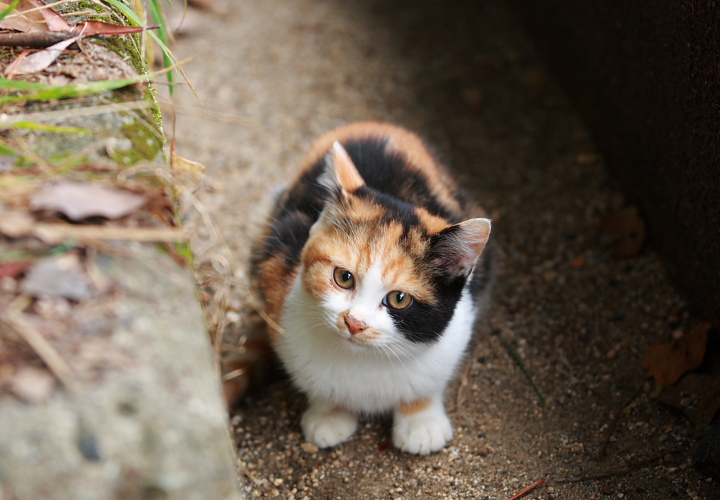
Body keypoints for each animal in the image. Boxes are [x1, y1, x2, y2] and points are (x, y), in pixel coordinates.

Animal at [250, 123, 492, 456]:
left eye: (399, 299)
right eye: (343, 277)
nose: (355, 322)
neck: (366, 359)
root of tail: (380, 126)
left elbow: (431, 381)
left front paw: (420, 421)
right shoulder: (277, 273)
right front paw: (329, 414)